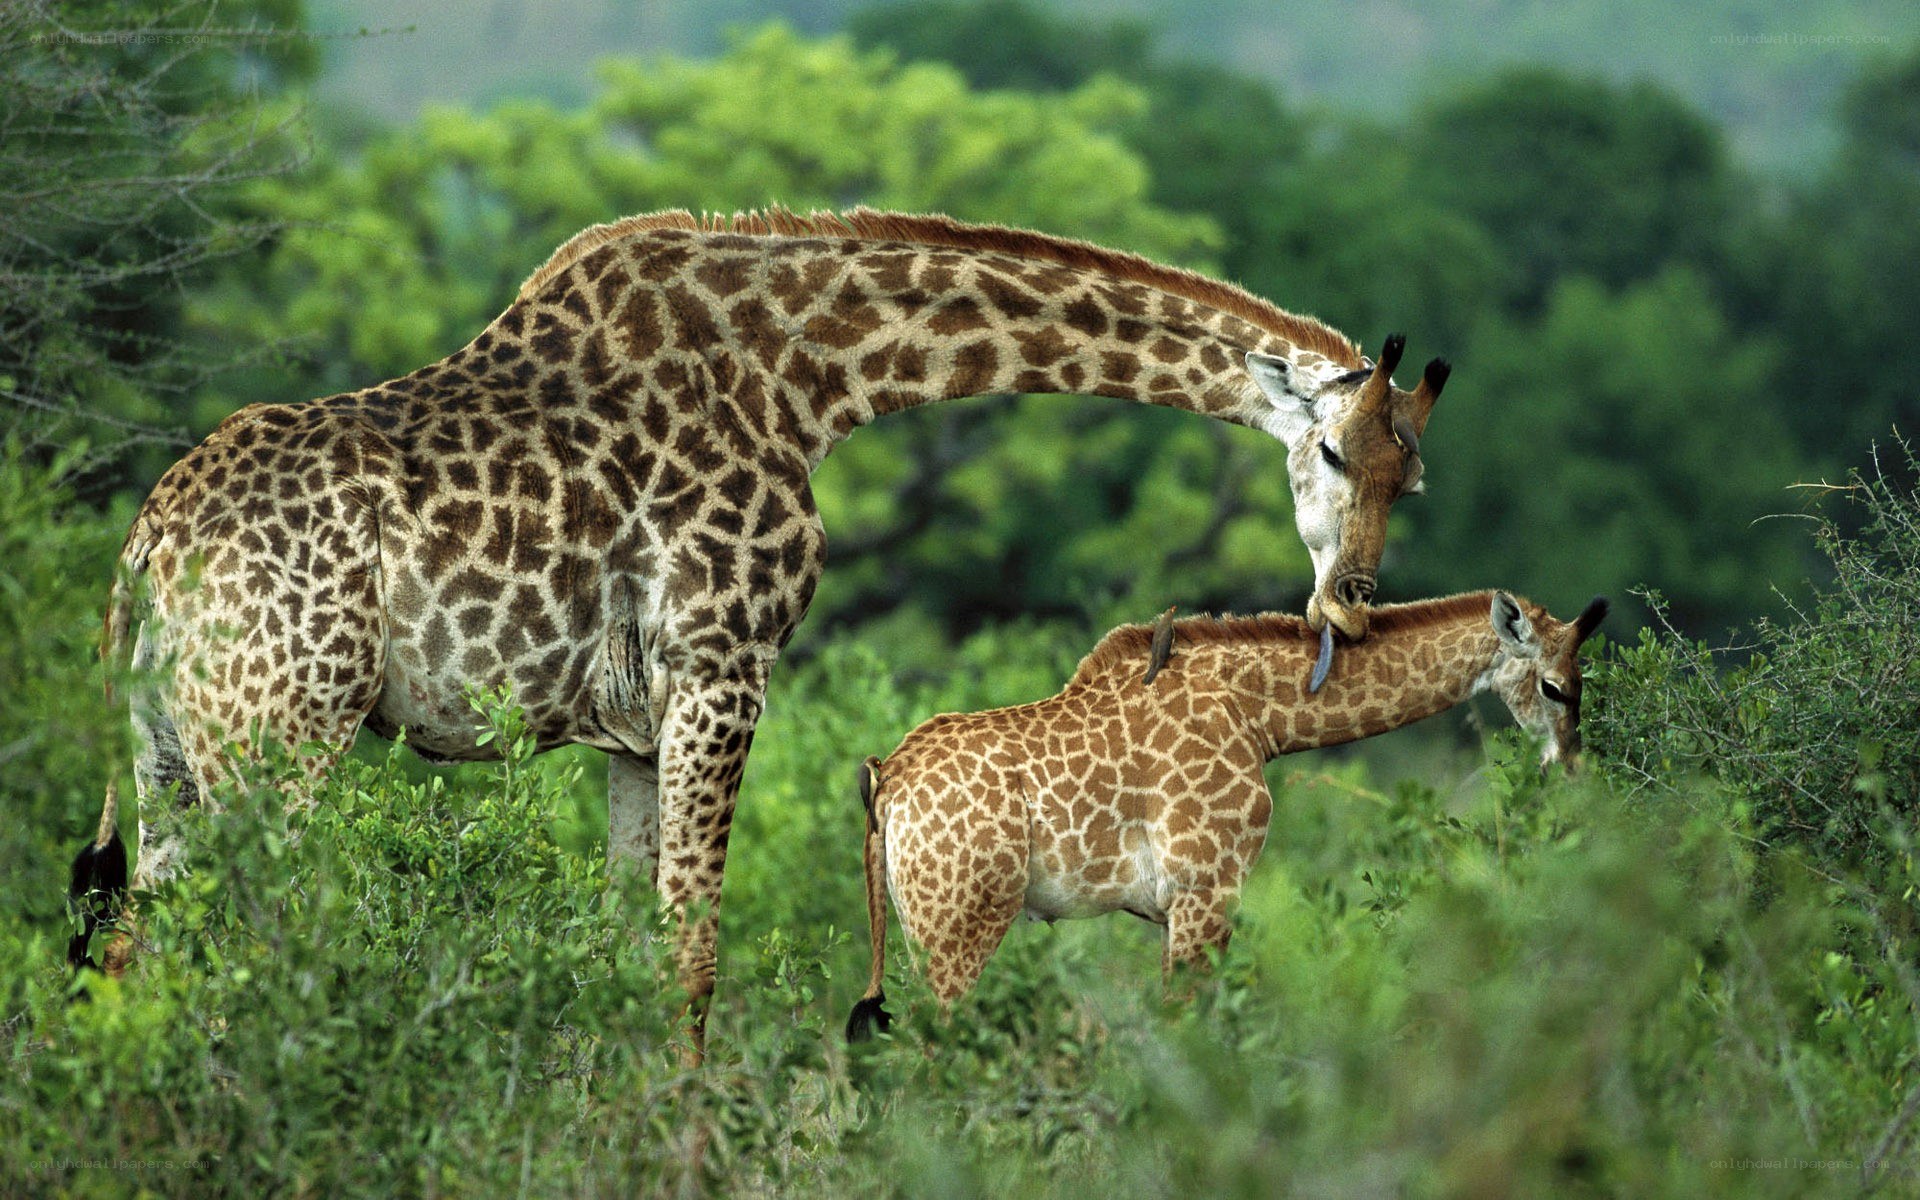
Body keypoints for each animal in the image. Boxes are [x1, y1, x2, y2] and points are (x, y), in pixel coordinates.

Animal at [63, 207, 1450, 1051]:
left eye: (1414, 479)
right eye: (1333, 450)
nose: (1349, 601)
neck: (815, 377)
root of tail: (146, 552)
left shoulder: (630, 726)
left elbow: (628, 948)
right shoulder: (725, 668)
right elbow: (695, 959)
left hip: (172, 748)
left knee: (135, 945)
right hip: (282, 737)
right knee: (246, 946)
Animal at [844, 591, 1608, 1037]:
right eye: (1555, 687)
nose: (1571, 768)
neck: (1259, 715)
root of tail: (886, 780)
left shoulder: (1171, 908)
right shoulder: (1206, 887)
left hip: (921, 927)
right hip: (960, 923)